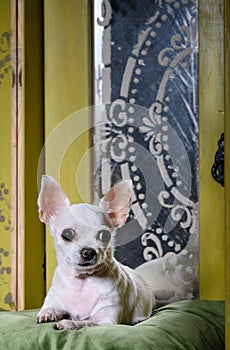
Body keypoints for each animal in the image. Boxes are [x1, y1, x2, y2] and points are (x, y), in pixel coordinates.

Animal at [36, 176, 155, 330]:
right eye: (67, 234)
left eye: (104, 235)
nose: (88, 252)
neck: (81, 281)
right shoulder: (54, 301)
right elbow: (48, 308)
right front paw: (47, 314)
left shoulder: (106, 321)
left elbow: (86, 322)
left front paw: (69, 322)